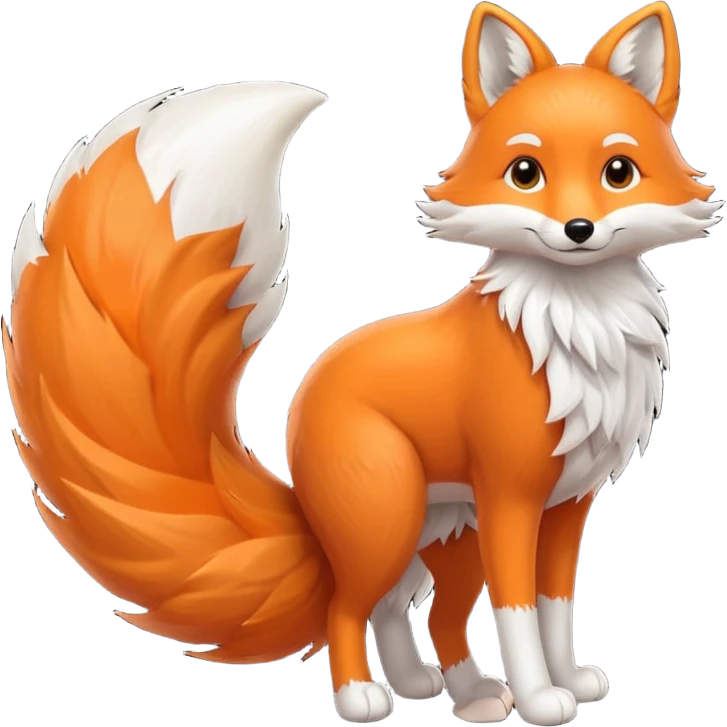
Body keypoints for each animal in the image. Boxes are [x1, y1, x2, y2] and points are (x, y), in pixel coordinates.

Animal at [4, 1, 721, 725]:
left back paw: (456, 692)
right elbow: (519, 613)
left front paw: (568, 678)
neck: (578, 328)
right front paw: (541, 696)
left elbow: (555, 605)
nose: (578, 230)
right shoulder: (511, 499)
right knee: (351, 606)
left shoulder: (569, 503)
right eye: (526, 173)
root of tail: (308, 389)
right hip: (391, 519)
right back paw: (363, 696)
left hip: (442, 533)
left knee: (417, 613)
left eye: (618, 173)